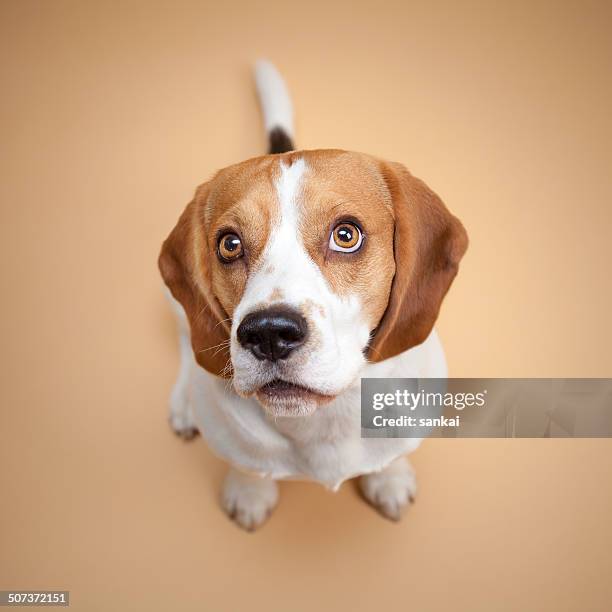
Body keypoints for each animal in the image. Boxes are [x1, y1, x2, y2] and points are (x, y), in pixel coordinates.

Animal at [159, 62, 468, 532]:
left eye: (346, 235)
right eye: (229, 244)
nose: (268, 334)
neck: (324, 419)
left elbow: (391, 457)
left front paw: (389, 478)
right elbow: (248, 466)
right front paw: (250, 493)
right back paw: (184, 405)